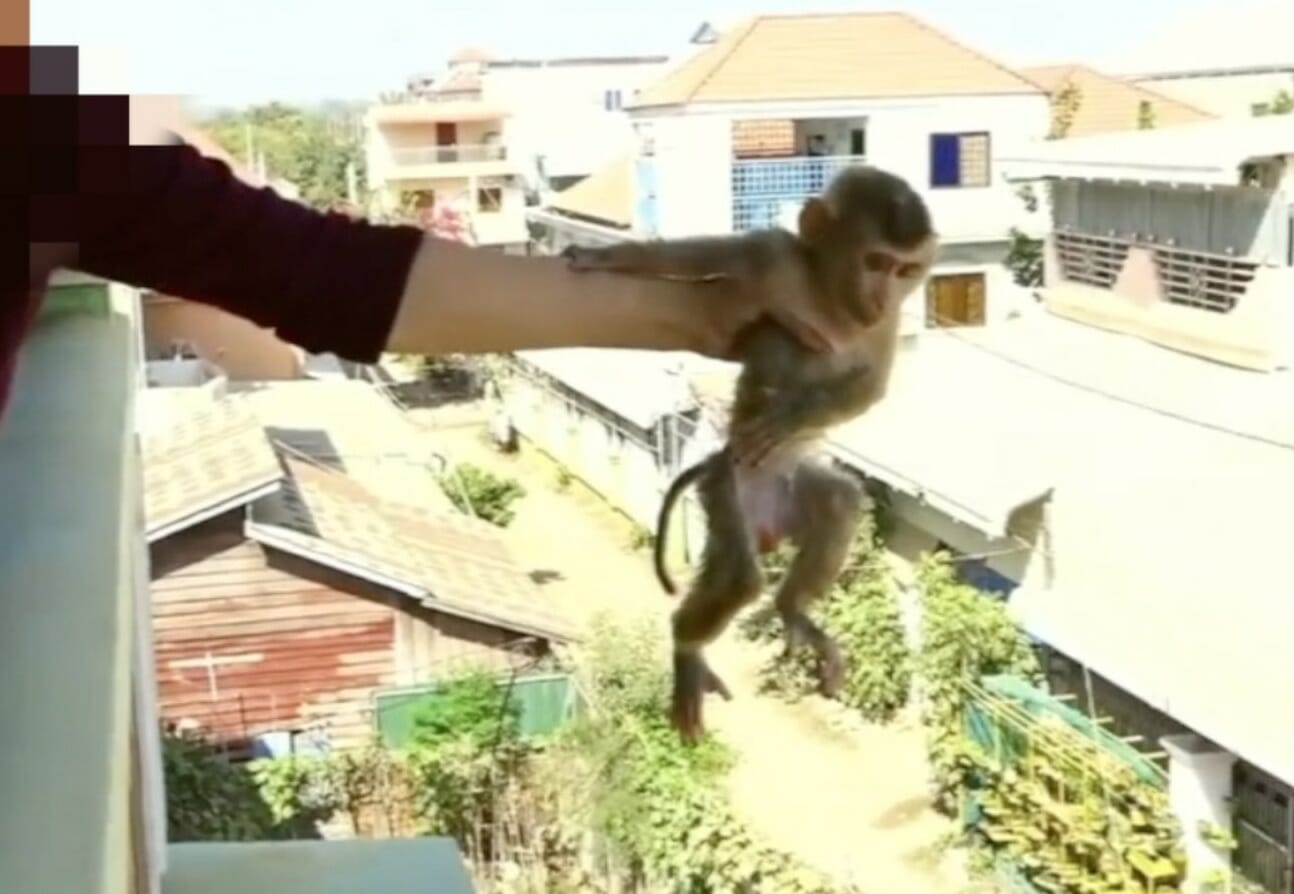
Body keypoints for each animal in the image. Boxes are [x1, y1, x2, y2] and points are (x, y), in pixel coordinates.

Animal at [561, 165, 936, 740]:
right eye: (875, 261)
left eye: (906, 269)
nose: (882, 293)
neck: (831, 298)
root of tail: (769, 524)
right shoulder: (774, 258)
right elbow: (705, 259)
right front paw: (605, 256)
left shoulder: (888, 321)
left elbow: (872, 385)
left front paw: (787, 419)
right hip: (728, 488)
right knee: (739, 574)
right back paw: (686, 645)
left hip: (790, 487)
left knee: (838, 503)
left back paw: (793, 610)